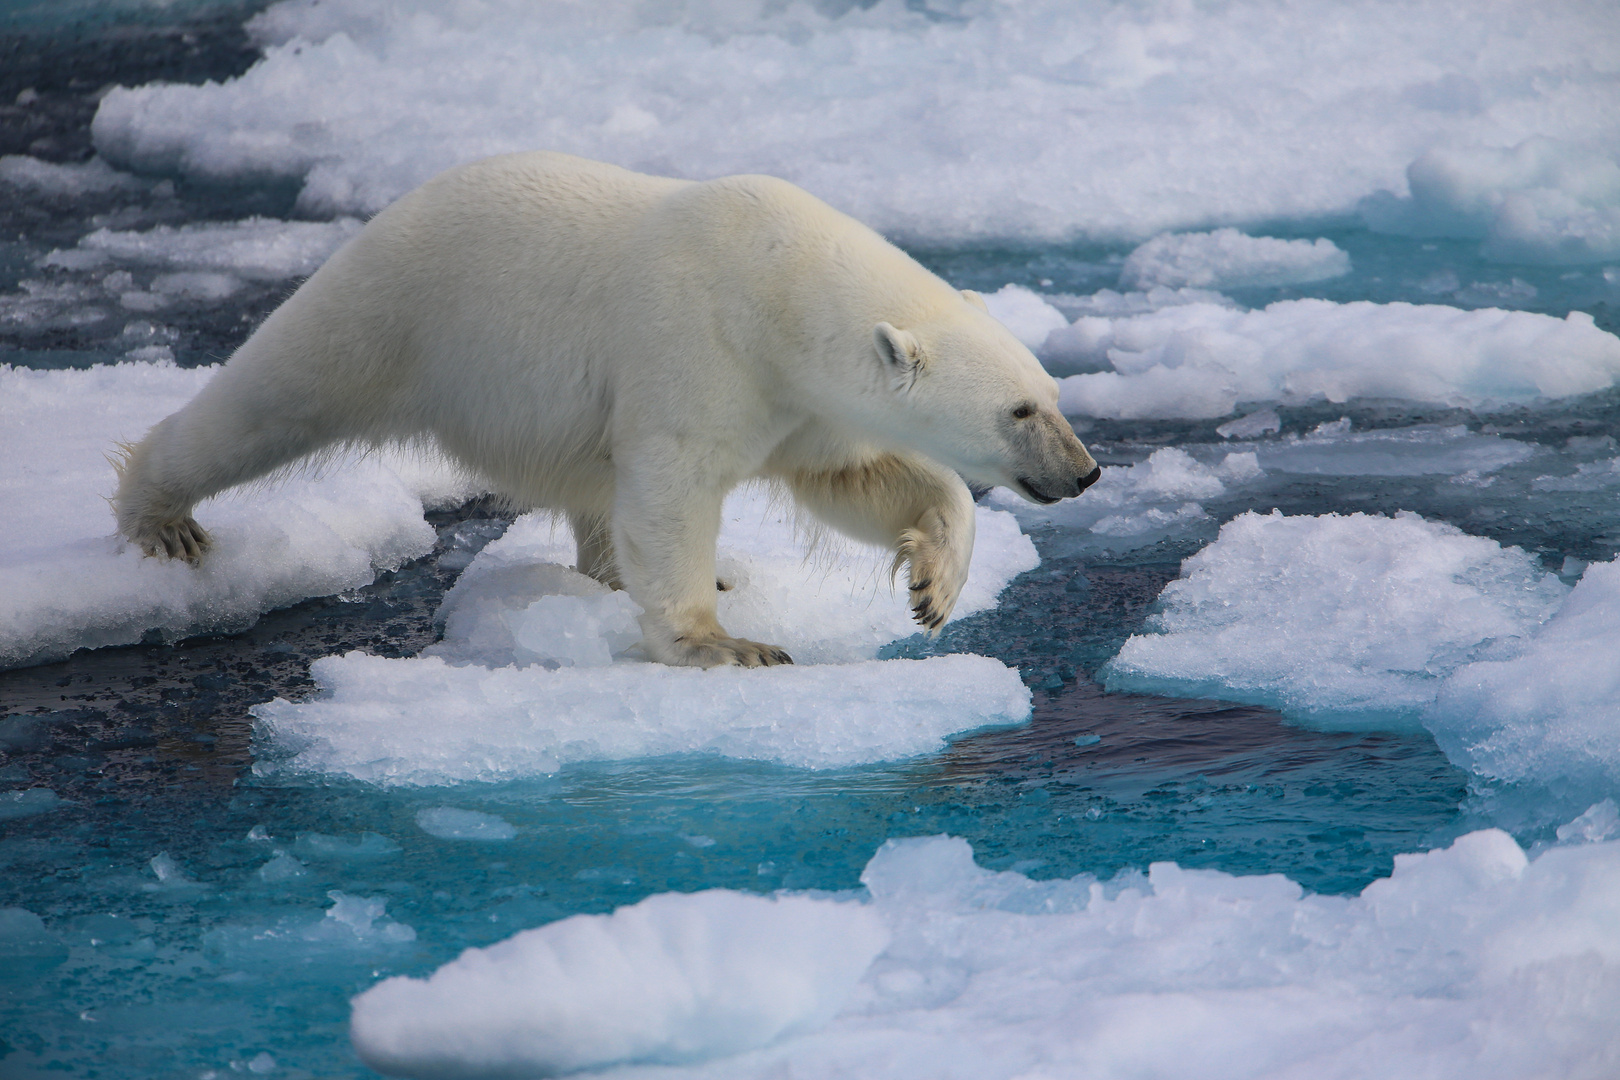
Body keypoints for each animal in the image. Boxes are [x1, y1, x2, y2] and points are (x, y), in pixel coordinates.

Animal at [114, 152, 1101, 667]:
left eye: (1053, 396)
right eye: (1019, 411)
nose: (1086, 471)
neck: (777, 284)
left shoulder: (797, 395)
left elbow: (856, 479)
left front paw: (935, 586)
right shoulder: (696, 344)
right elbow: (673, 484)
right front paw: (724, 644)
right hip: (398, 309)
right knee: (269, 401)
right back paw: (163, 518)